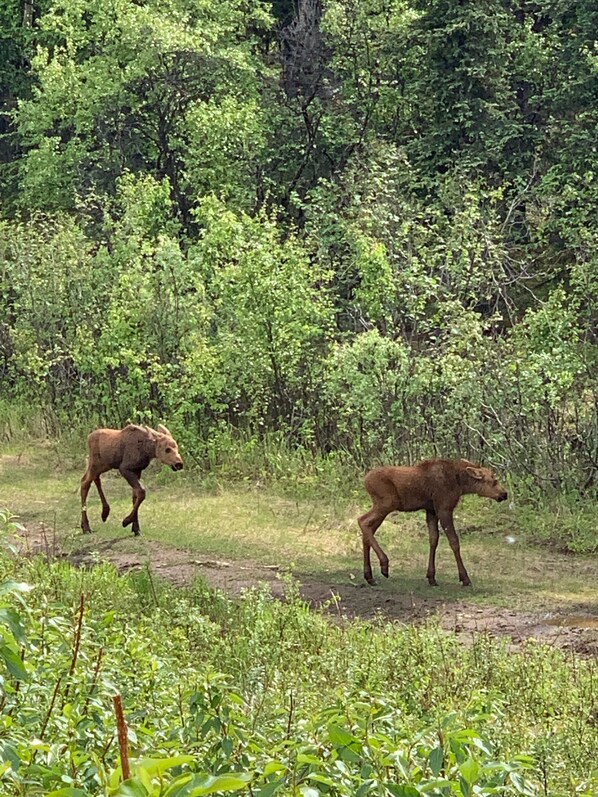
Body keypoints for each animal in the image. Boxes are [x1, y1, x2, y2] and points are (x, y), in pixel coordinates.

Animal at [358, 458, 508, 587]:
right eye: (494, 480)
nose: (504, 494)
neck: (461, 484)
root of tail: (365, 481)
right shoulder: (444, 508)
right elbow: (454, 542)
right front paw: (465, 578)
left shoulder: (431, 510)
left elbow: (433, 539)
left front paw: (431, 577)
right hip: (387, 503)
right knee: (362, 521)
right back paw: (384, 564)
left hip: (383, 506)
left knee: (367, 531)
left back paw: (369, 576)